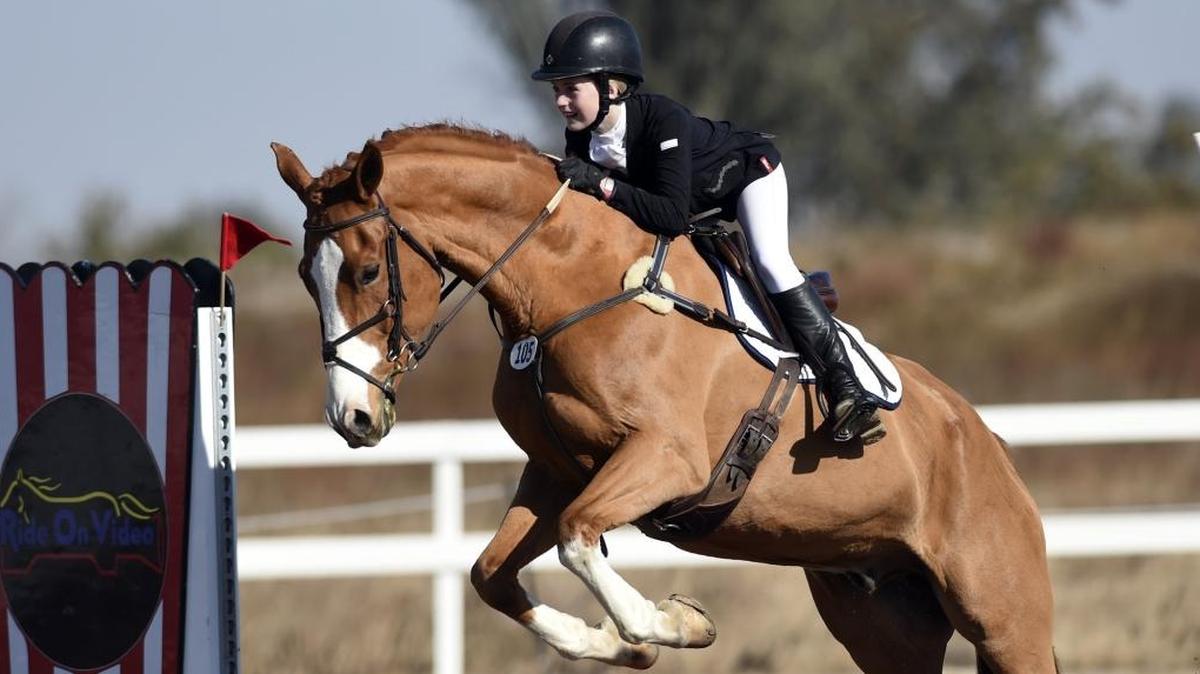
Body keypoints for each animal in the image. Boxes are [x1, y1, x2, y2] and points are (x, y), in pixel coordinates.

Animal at [271, 124, 1057, 673]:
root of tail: (991, 444)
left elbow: (580, 540)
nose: (353, 419)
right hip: (882, 619)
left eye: (368, 272)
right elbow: (492, 574)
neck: (566, 286)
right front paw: (613, 642)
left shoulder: (664, 460)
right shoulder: (558, 472)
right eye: (307, 277)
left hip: (1003, 615)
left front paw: (674, 624)